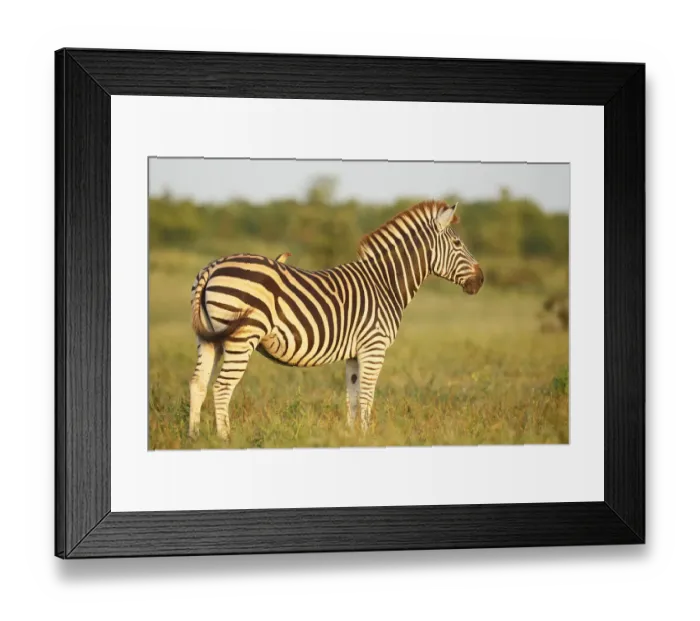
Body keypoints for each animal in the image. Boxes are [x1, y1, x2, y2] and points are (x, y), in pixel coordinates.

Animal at [188, 200, 484, 440]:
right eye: (458, 244)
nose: (481, 280)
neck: (385, 283)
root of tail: (213, 266)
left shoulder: (354, 353)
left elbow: (352, 397)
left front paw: (352, 436)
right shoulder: (374, 347)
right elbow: (366, 395)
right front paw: (366, 437)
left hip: (209, 339)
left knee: (198, 384)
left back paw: (194, 437)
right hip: (242, 337)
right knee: (222, 387)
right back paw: (225, 439)